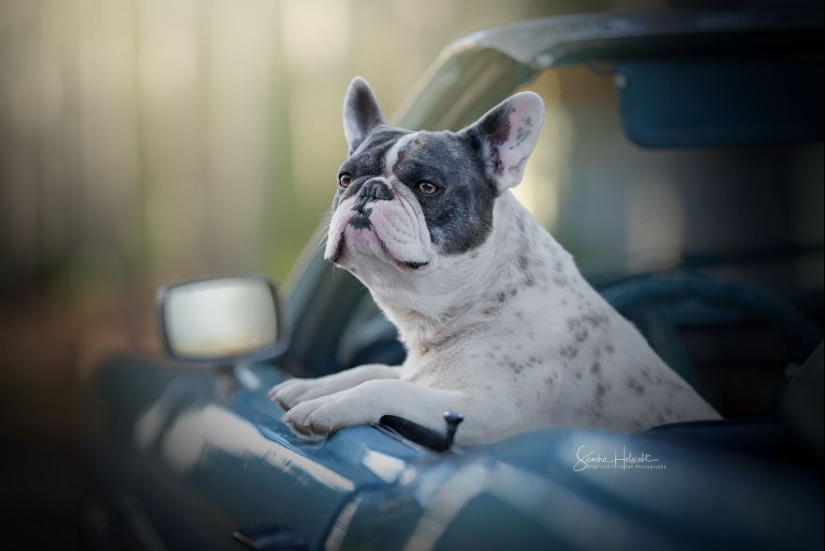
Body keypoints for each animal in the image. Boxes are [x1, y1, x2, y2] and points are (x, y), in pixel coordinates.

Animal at [268, 76, 716, 444]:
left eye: (427, 187)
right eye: (345, 179)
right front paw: (311, 387)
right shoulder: (421, 374)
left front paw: (326, 406)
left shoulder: (485, 411)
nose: (370, 189)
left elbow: (384, 386)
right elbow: (373, 370)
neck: (475, 299)